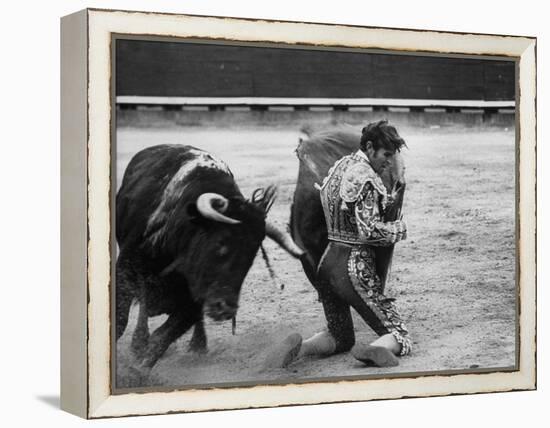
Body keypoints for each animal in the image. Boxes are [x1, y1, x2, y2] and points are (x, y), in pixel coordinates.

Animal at [117, 144, 306, 374]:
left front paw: (137, 372)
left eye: (252, 255)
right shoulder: (125, 270)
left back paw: (198, 346)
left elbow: (162, 338)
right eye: (221, 243)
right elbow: (122, 321)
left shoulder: (195, 300)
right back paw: (139, 343)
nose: (226, 309)